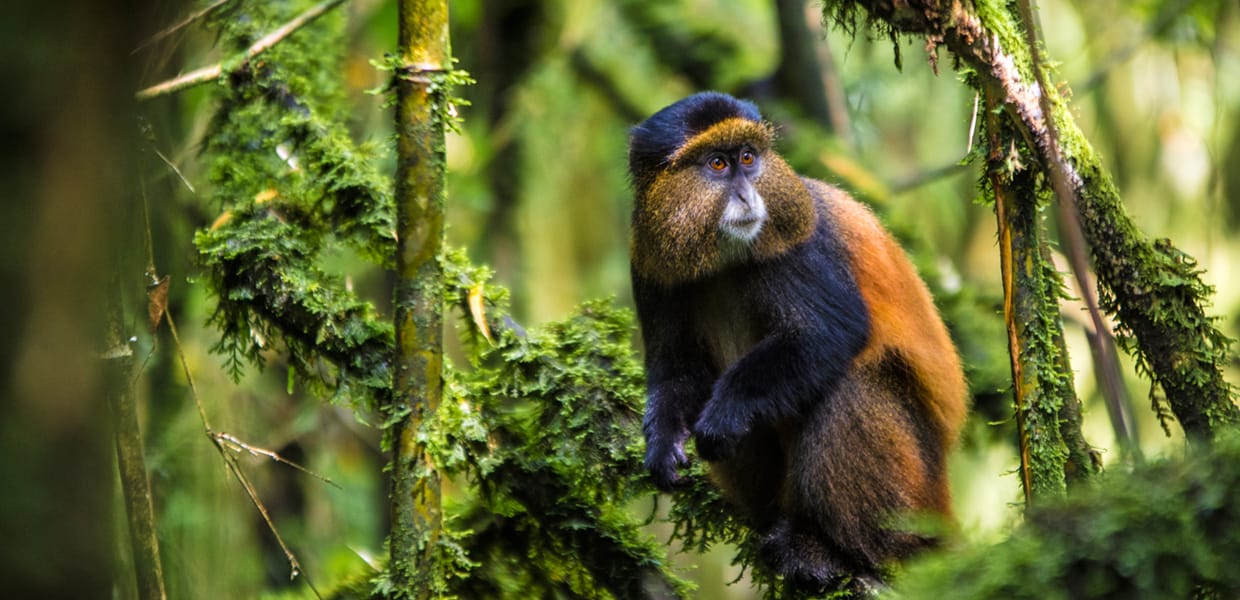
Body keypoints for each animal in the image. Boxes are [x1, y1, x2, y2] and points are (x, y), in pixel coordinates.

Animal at [627, 92, 967, 591]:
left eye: (748, 158)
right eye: (717, 164)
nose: (748, 195)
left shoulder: (796, 246)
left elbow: (828, 333)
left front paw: (725, 412)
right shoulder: (650, 265)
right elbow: (677, 368)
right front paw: (663, 441)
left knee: (851, 385)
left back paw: (830, 550)